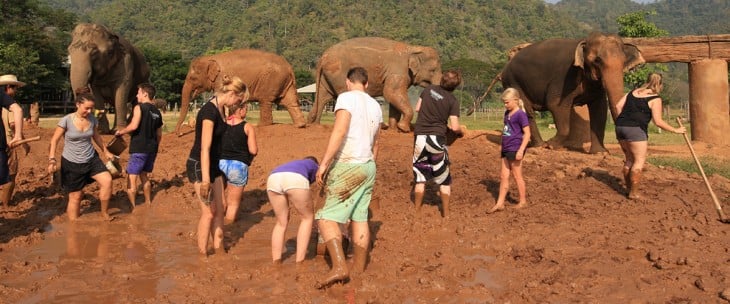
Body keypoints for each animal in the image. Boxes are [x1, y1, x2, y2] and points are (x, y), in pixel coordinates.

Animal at [175, 48, 306, 134]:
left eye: (192, 78)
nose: (179, 133)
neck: (211, 59)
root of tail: (289, 67)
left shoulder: (221, 79)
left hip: (271, 80)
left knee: (265, 101)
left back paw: (259, 126)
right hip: (284, 82)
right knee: (289, 102)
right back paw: (299, 125)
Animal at [306, 36, 440, 132]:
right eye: (433, 70)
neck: (412, 48)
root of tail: (323, 57)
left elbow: (393, 97)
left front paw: (393, 130)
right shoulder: (398, 72)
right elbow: (391, 93)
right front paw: (403, 129)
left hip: (327, 77)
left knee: (323, 97)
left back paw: (315, 126)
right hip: (339, 75)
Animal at [500, 32, 644, 154]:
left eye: (624, 61)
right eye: (597, 60)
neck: (583, 41)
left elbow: (600, 109)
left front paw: (600, 153)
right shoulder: (565, 77)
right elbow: (556, 105)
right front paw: (551, 145)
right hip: (513, 81)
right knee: (527, 110)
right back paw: (540, 146)